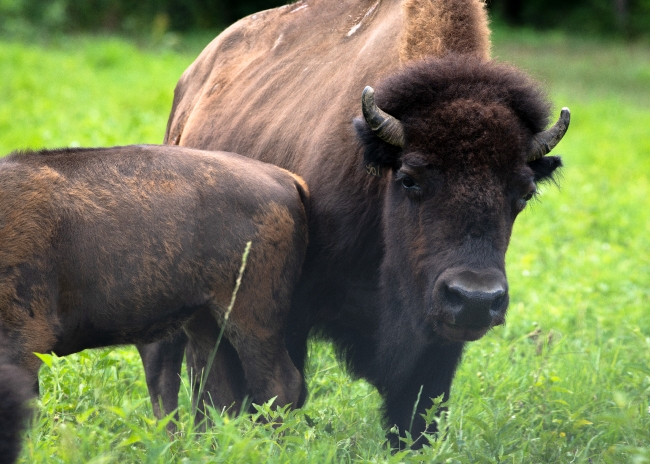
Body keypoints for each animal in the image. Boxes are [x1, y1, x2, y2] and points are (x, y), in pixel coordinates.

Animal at [138, 0, 568, 450]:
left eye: (524, 193)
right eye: (409, 178)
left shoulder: (433, 342)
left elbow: (418, 412)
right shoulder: (287, 312)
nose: (475, 299)